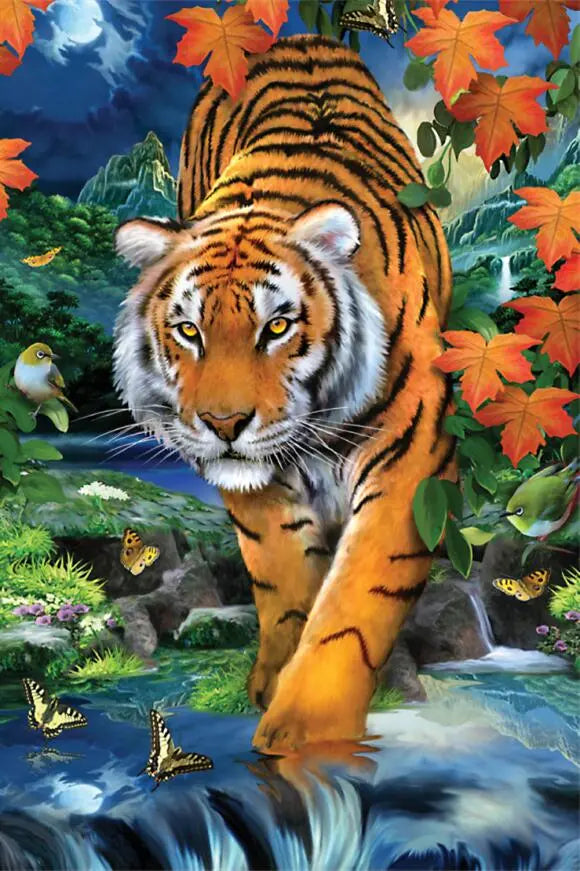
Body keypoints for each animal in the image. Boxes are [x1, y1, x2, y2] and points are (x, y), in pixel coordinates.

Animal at [114, 34, 455, 754]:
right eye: (188, 330)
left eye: (277, 327)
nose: (223, 423)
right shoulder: (257, 486)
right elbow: (284, 576)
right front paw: (274, 680)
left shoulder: (412, 455)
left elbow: (354, 601)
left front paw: (303, 730)